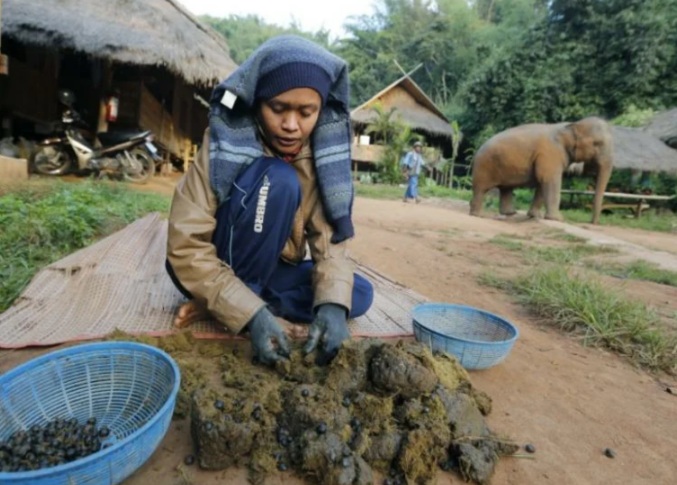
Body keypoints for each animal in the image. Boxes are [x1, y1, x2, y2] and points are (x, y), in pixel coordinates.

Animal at [470, 116, 612, 224]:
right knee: (481, 189)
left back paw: (510, 213)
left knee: (506, 188)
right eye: (597, 143)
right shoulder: (550, 153)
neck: (571, 124)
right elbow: (549, 180)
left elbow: (542, 182)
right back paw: (478, 215)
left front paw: (534, 215)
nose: (592, 223)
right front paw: (558, 219)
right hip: (484, 167)